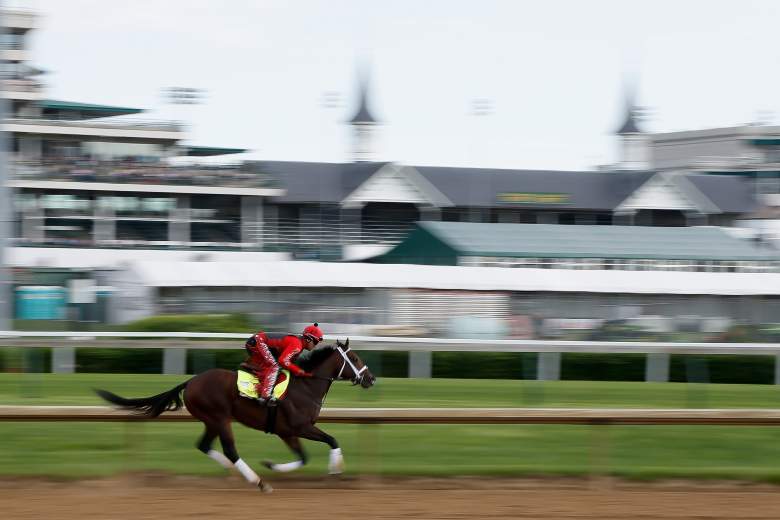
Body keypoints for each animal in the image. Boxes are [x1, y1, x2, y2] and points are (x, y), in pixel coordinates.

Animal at [97, 340, 374, 494]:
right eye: (355, 357)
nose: (370, 379)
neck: (306, 386)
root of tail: (191, 381)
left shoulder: (287, 432)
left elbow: (303, 457)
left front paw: (272, 465)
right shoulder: (300, 427)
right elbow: (331, 440)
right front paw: (336, 469)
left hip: (211, 420)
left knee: (204, 445)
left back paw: (235, 471)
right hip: (219, 417)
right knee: (230, 449)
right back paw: (257, 481)